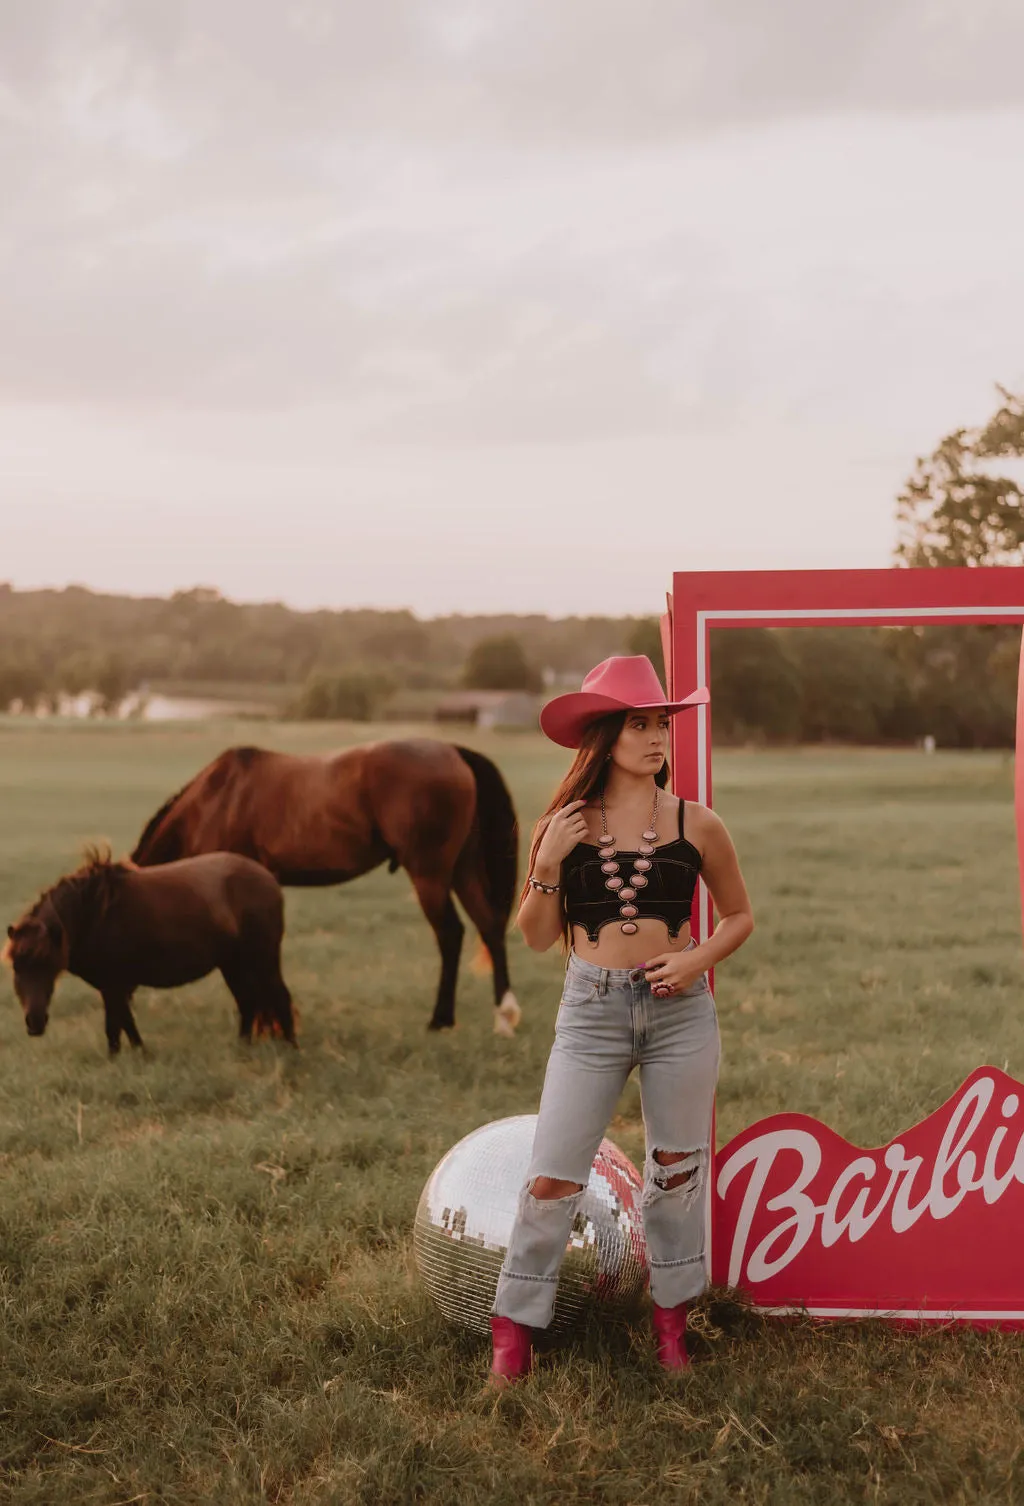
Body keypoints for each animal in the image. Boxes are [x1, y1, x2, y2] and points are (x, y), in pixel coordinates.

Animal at [4, 855, 296, 1054]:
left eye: (46, 964)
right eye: (16, 967)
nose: (34, 1022)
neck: (92, 915)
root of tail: (268, 878)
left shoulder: (114, 984)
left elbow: (116, 1026)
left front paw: (126, 1058)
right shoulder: (113, 987)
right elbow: (123, 1024)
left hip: (263, 959)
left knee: (279, 997)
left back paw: (291, 1049)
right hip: (233, 964)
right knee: (248, 1002)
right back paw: (242, 1048)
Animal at [131, 740, 521, 1036]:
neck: (214, 802)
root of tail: (453, 752)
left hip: (430, 874)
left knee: (450, 934)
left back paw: (441, 1020)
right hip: (462, 869)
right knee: (489, 927)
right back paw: (503, 1018)